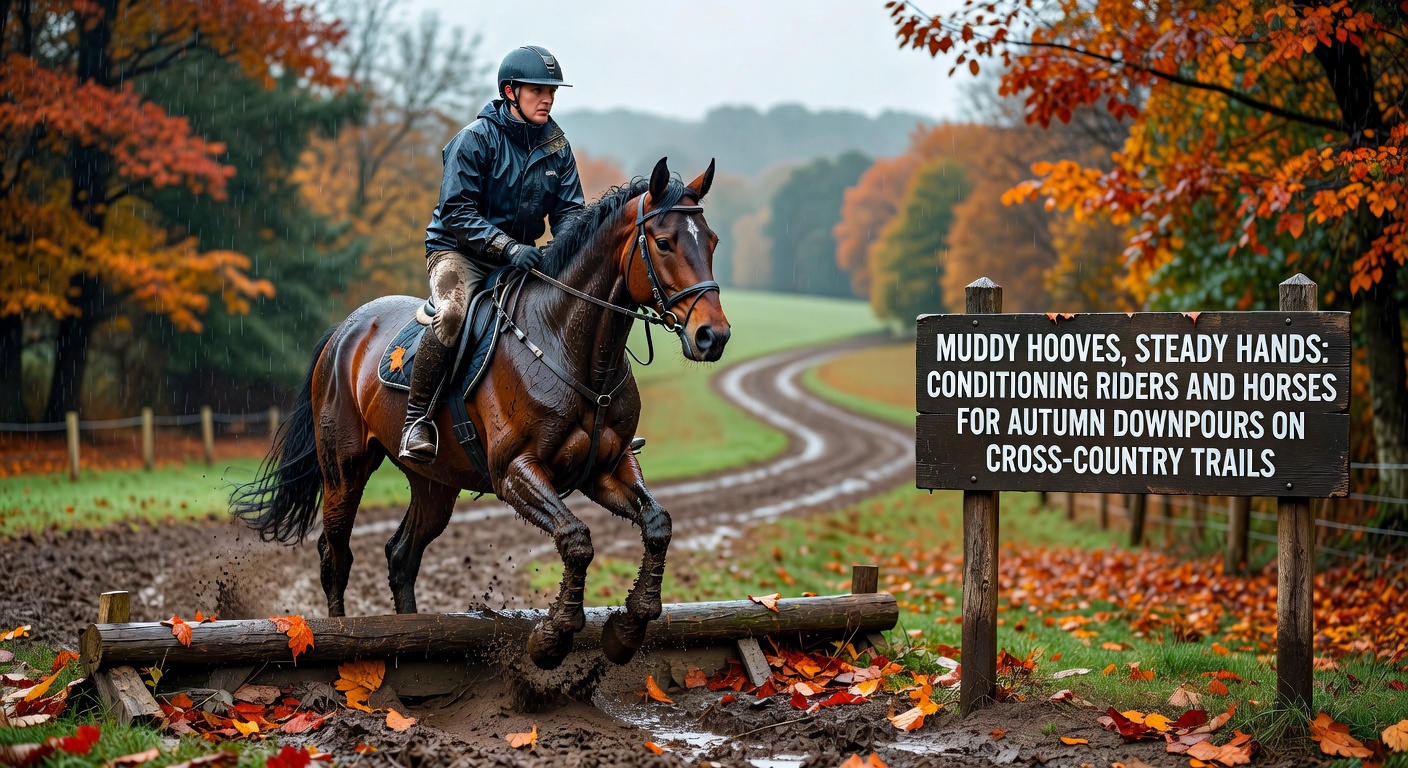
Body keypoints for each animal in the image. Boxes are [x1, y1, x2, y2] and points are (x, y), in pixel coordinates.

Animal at [230, 158, 729, 670]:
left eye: (711, 241)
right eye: (664, 242)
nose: (713, 336)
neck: (569, 345)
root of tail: (342, 331)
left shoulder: (607, 467)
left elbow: (658, 524)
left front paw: (630, 626)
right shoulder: (514, 471)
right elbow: (575, 538)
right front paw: (553, 636)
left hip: (434, 484)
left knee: (401, 555)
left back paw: (409, 632)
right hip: (344, 469)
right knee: (336, 555)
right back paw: (340, 637)